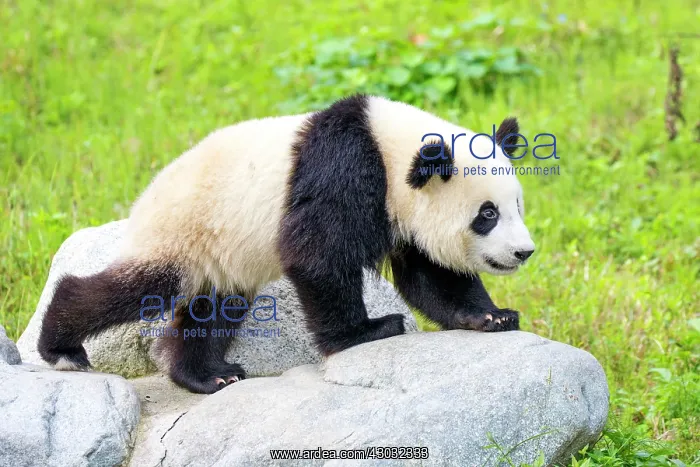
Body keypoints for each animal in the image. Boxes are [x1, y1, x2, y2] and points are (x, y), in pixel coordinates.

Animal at [38, 94, 535, 394]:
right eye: (487, 215)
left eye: (517, 206)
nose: (523, 252)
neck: (391, 148)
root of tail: (145, 196)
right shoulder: (344, 170)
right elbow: (317, 256)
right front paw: (367, 331)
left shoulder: (402, 210)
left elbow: (430, 275)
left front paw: (492, 316)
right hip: (182, 230)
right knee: (138, 287)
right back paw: (62, 347)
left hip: (219, 259)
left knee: (213, 310)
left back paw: (207, 375)